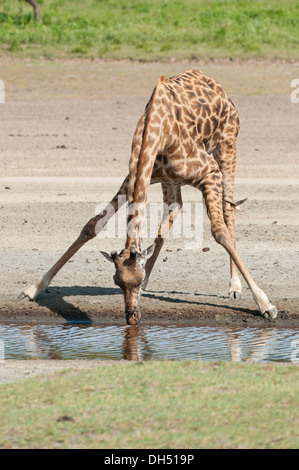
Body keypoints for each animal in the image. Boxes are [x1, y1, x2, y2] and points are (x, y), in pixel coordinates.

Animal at [20, 70, 278, 326]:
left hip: (226, 149)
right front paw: (33, 289)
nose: (131, 318)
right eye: (117, 281)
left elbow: (219, 231)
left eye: (135, 277)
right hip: (171, 181)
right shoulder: (134, 179)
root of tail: (217, 86)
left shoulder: (209, 172)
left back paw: (235, 287)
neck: (156, 133)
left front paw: (266, 305)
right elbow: (92, 226)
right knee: (174, 210)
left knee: (228, 211)